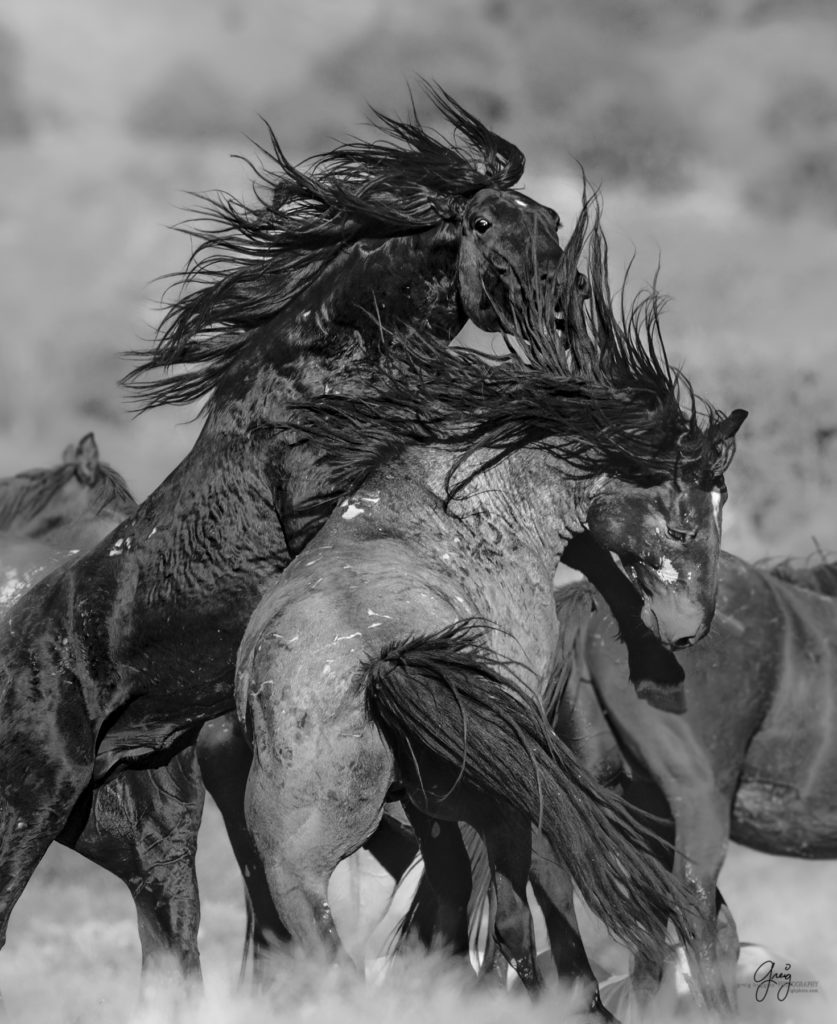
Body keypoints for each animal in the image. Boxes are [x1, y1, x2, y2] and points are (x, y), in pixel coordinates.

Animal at [0, 86, 581, 974]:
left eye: (548, 218)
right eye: (483, 222)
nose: (562, 297)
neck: (333, 362)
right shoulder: (325, 501)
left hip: (138, 831)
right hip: (32, 803)